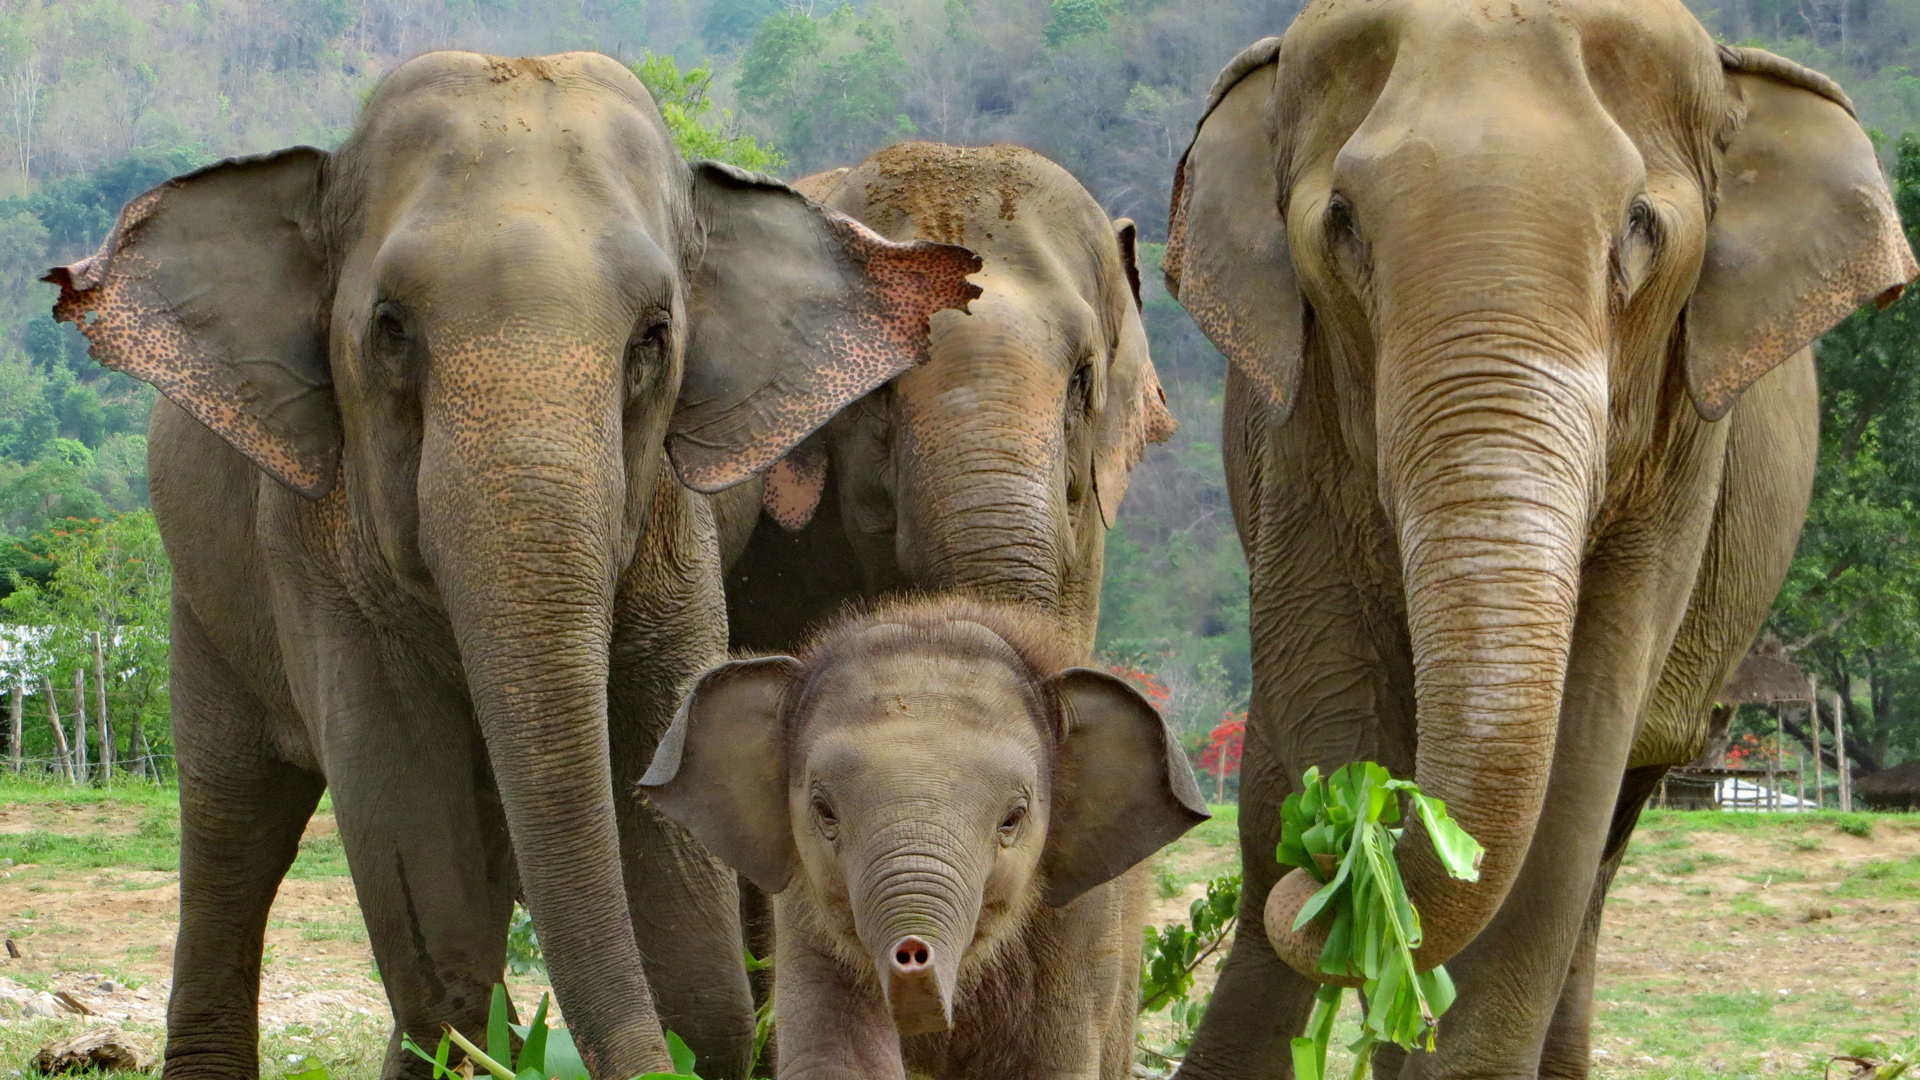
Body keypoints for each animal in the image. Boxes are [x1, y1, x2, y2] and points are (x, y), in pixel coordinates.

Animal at [48, 52, 975, 1076]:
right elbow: (423, 880)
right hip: (206, 604)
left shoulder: (672, 528)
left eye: (653, 337)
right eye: (390, 329)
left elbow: (675, 853)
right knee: (233, 827)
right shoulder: (313, 545)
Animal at [645, 595, 1213, 1076]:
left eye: (1012, 819)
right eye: (824, 812)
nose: (912, 952)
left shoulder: (1082, 923)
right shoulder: (804, 915)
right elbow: (838, 1060)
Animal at [1159, 4, 1912, 1068]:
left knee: (1606, 843)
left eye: (1640, 226)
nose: (1322, 866)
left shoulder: (1682, 452)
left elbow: (1579, 755)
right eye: (1340, 221)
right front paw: (1345, 842)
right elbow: (1332, 697)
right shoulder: (1293, 425)